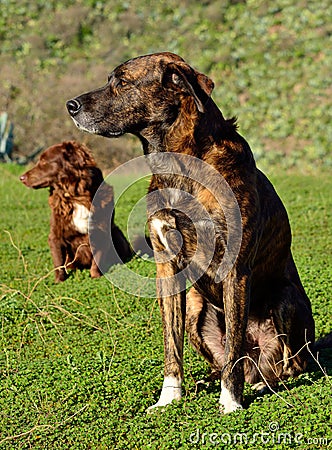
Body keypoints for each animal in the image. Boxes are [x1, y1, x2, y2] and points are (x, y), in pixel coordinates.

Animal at [20, 140, 132, 282]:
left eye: (44, 161)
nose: (21, 178)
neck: (75, 194)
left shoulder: (101, 231)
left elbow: (97, 259)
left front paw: (96, 276)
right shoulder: (55, 234)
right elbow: (58, 261)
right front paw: (59, 281)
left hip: (116, 233)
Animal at [65, 52, 316, 412]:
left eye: (122, 82)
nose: (70, 105)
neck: (178, 164)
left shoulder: (235, 269)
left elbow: (233, 348)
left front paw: (230, 403)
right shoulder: (166, 266)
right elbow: (172, 343)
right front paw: (169, 397)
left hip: (284, 300)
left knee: (287, 363)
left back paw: (260, 384)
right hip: (198, 310)